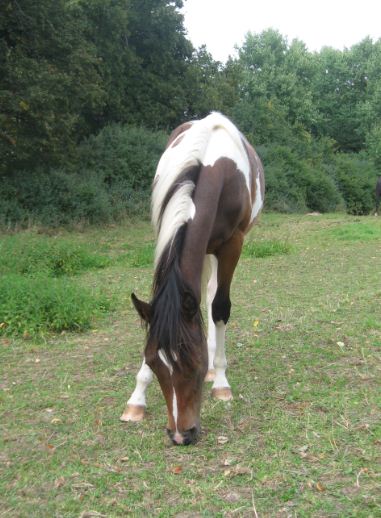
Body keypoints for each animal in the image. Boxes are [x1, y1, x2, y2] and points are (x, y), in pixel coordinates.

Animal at [121, 114, 264, 446]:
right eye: (153, 362)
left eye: (192, 362)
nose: (180, 435)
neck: (212, 165)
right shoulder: (164, 231)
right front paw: (137, 398)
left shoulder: (232, 245)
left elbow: (220, 308)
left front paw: (220, 380)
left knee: (212, 299)